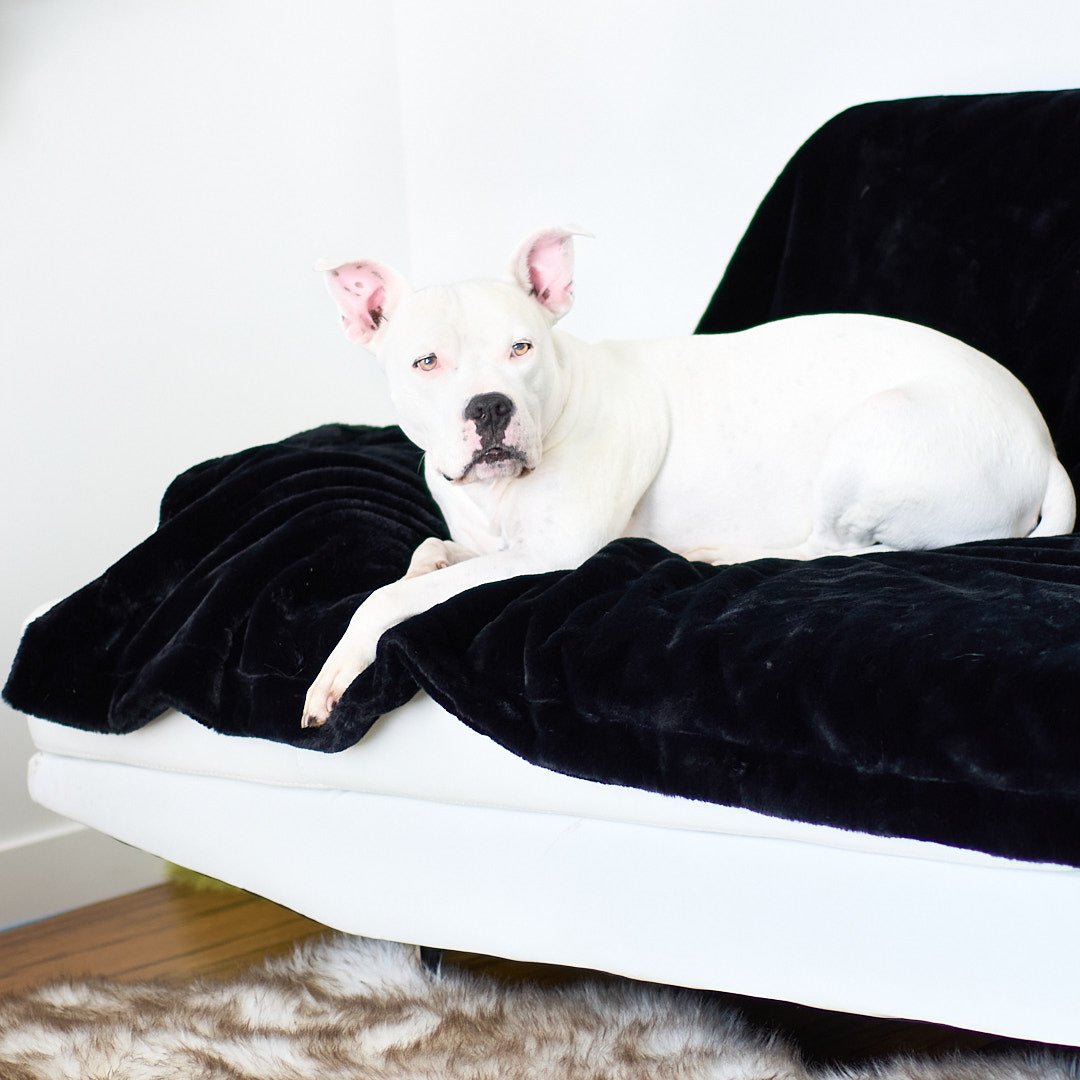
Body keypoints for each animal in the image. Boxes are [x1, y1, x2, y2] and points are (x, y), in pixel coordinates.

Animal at [300, 231, 1075, 730]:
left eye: (521, 348)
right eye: (425, 363)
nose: (490, 406)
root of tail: (1044, 446)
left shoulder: (551, 555)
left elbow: (387, 598)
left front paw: (337, 668)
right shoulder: (493, 545)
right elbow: (425, 556)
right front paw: (420, 567)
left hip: (871, 433)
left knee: (831, 549)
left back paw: (723, 555)